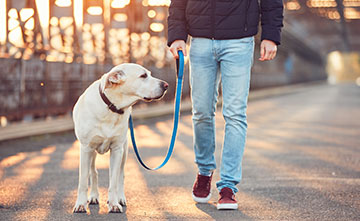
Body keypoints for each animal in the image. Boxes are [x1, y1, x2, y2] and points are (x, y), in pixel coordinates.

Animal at [73, 63, 169, 212]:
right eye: (143, 76)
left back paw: (120, 197)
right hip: (91, 152)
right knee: (93, 172)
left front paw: (113, 203)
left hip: (124, 151)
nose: (166, 85)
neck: (112, 107)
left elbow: (114, 181)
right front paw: (80, 204)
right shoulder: (86, 148)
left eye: (149, 74)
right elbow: (83, 181)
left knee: (120, 175)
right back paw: (94, 196)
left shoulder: (117, 149)